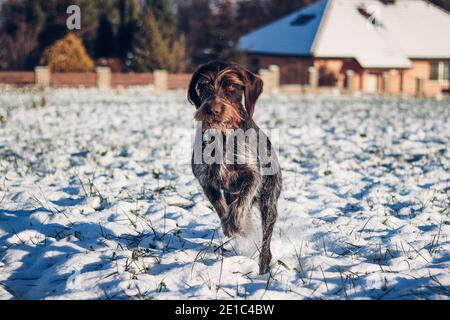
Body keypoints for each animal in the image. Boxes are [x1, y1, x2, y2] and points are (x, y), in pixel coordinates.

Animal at [187, 60, 282, 276]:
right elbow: (220, 207)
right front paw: (230, 225)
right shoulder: (206, 180)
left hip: (269, 204)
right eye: (203, 86)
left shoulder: (253, 174)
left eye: (231, 86)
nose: (212, 110)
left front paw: (235, 222)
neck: (222, 134)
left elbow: (242, 200)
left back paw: (263, 267)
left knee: (266, 243)